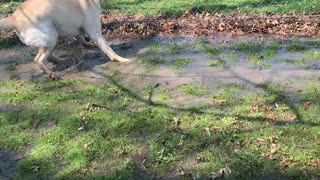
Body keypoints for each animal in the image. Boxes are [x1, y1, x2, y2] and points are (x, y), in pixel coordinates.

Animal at [0, 0, 130, 76]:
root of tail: (13, 18)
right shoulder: (95, 32)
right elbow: (108, 49)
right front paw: (119, 59)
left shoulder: (80, 32)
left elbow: (82, 39)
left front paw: (88, 45)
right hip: (52, 36)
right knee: (38, 59)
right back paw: (50, 73)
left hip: (52, 38)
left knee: (48, 56)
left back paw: (59, 61)